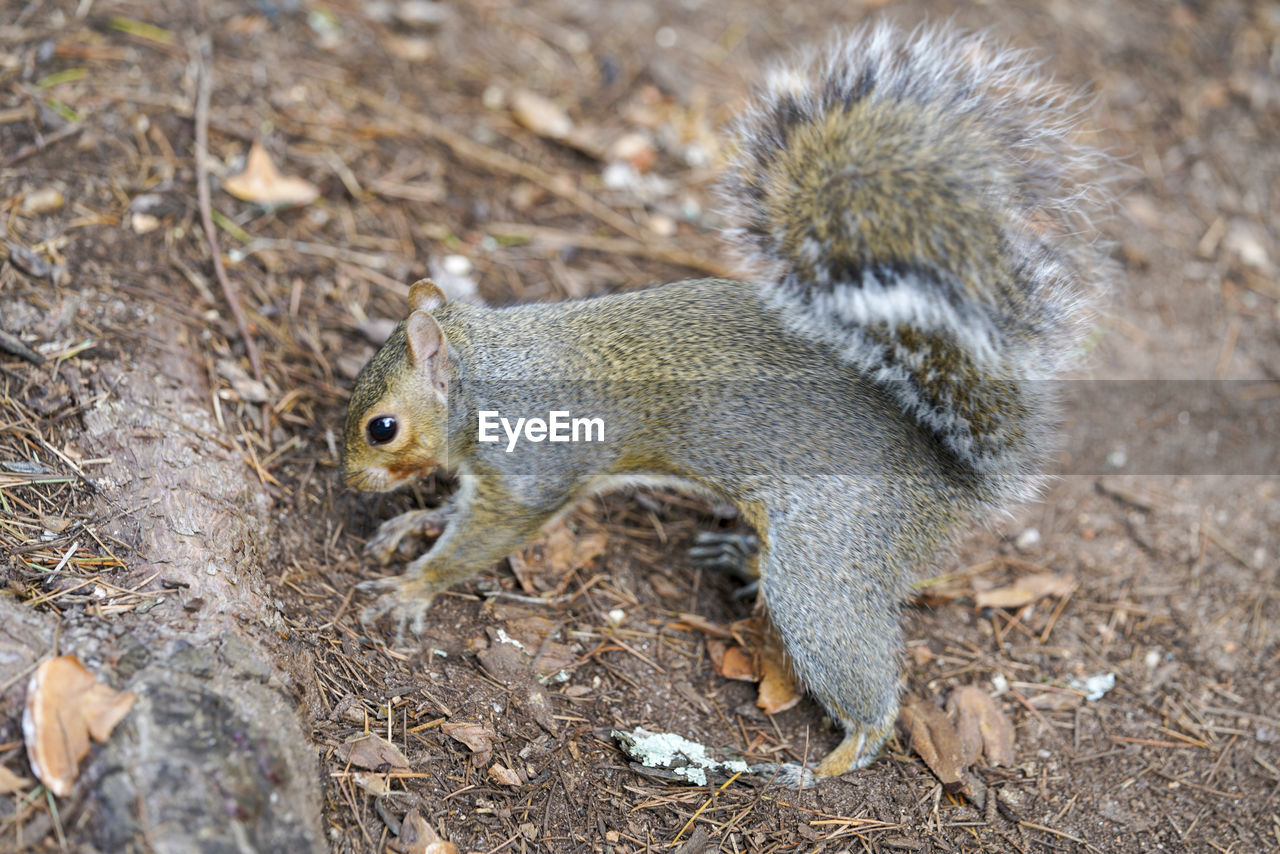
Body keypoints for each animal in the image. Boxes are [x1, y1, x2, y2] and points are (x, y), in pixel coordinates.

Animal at [341, 23, 1108, 779]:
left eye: (382, 427)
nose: (349, 483)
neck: (484, 375)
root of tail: (949, 482)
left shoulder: (533, 473)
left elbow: (484, 538)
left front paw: (413, 586)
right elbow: (456, 510)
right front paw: (415, 523)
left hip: (825, 562)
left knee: (865, 687)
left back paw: (824, 762)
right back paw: (737, 555)